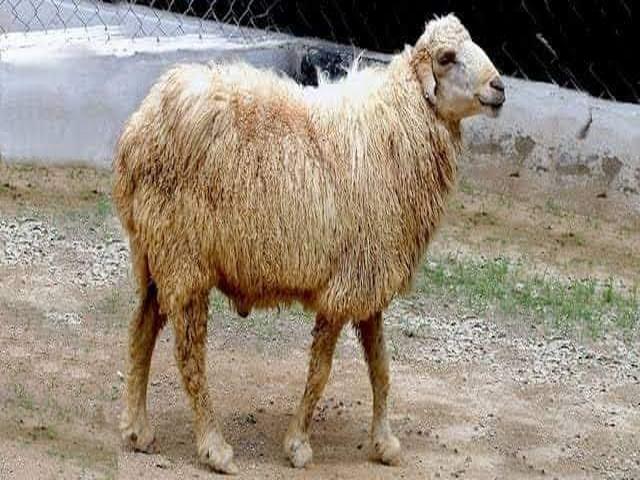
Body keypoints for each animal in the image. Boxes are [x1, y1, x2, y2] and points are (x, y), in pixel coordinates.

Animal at [113, 14, 505, 474]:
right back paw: (214, 447)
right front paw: (298, 444)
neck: (394, 127)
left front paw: (384, 443)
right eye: (446, 58)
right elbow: (321, 370)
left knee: (140, 331)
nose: (499, 87)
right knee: (189, 357)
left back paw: (137, 430)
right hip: (184, 257)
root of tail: (140, 128)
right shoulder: (344, 287)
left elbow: (382, 368)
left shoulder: (369, 278)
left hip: (155, 254)